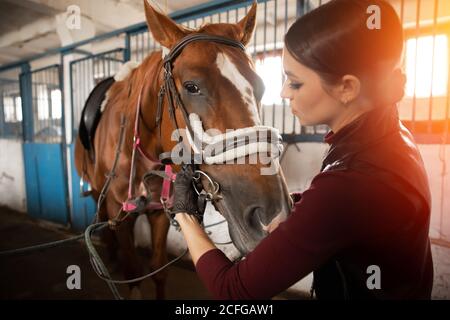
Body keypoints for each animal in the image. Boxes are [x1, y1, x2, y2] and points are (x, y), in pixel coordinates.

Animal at [74, 1, 292, 298]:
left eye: (260, 87)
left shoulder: (160, 212)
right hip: (100, 193)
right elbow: (133, 272)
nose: (272, 215)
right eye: (191, 86)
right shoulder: (120, 214)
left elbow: (159, 269)